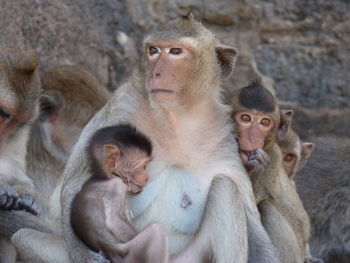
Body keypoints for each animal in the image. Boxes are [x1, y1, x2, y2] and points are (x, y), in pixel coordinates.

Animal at [71, 125, 168, 263]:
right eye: (143, 167)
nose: (147, 177)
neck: (105, 177)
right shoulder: (116, 187)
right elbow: (115, 221)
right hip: (129, 254)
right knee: (157, 230)